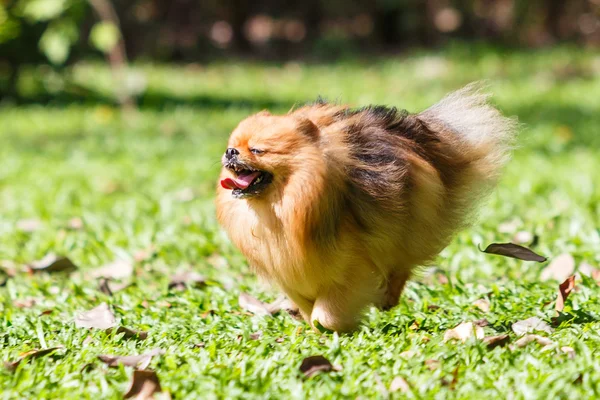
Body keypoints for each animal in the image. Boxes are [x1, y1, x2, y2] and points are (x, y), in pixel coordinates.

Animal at [216, 83, 516, 332]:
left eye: (257, 150)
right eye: (233, 145)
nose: (230, 152)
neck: (283, 207)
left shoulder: (350, 268)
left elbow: (325, 313)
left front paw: (334, 327)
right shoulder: (289, 270)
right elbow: (307, 304)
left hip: (408, 223)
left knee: (403, 261)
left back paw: (389, 295)